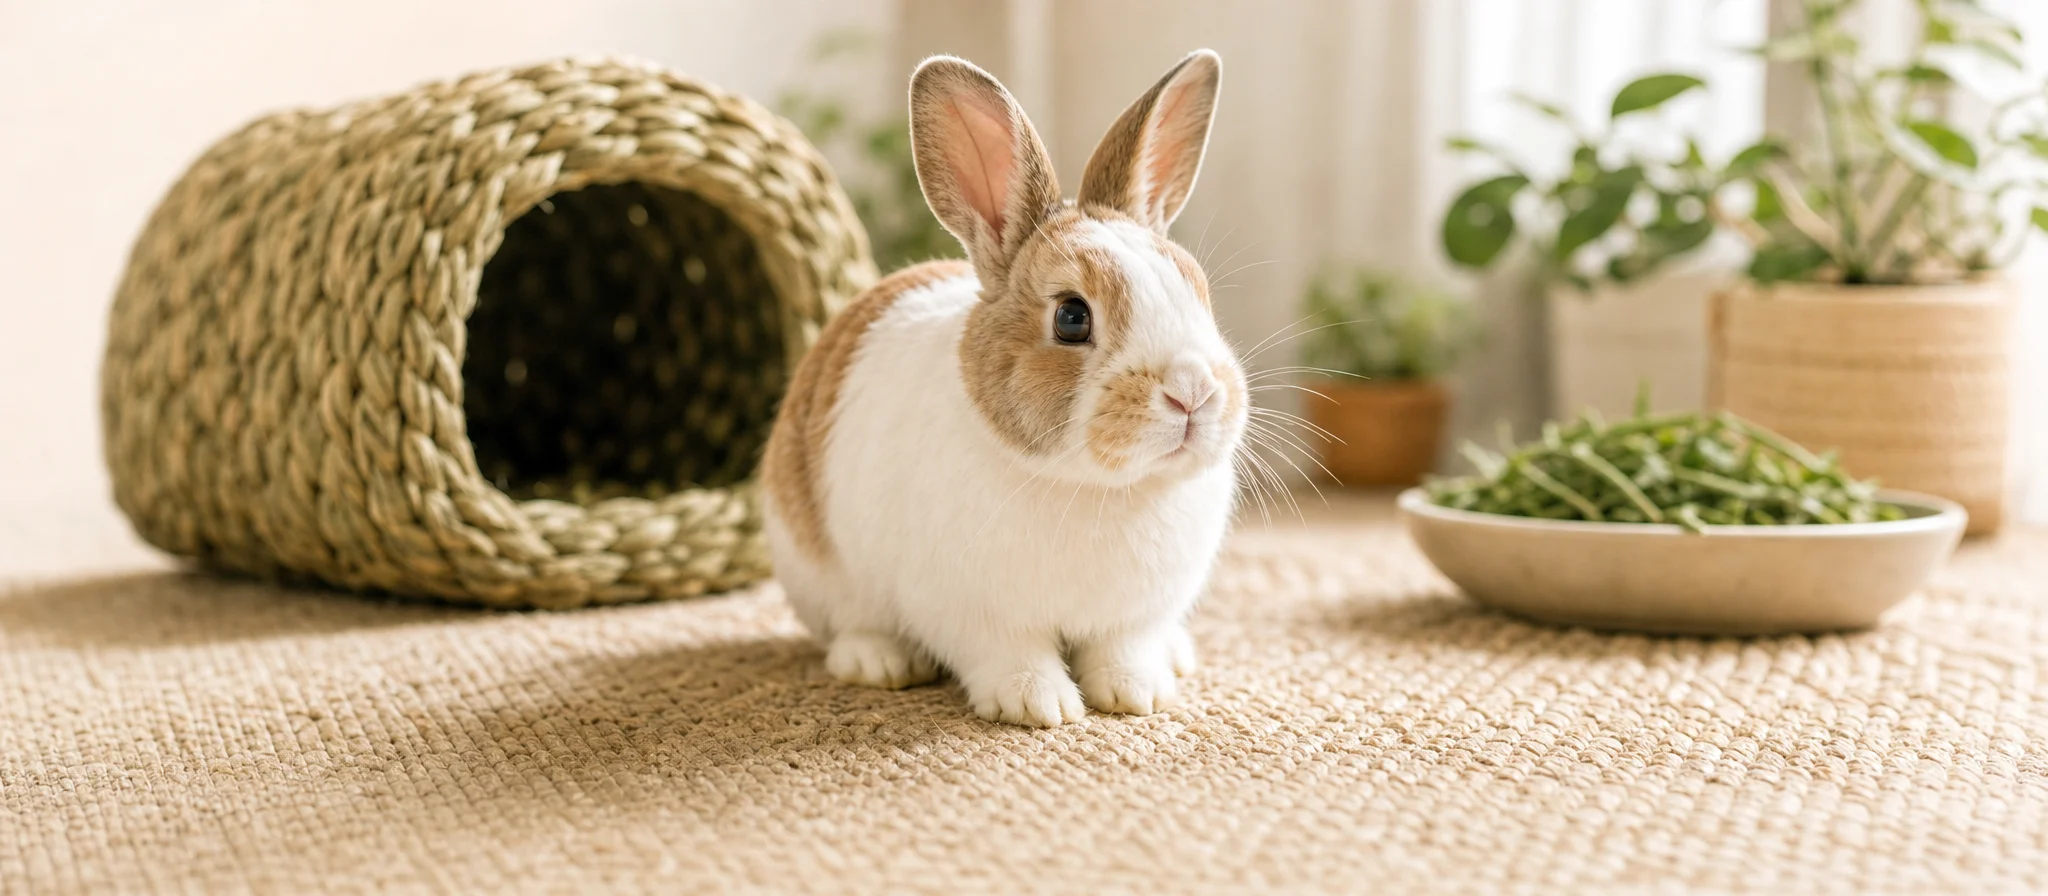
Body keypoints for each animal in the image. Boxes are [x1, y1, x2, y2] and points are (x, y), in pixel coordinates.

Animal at [760, 49, 1242, 727]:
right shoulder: (972, 615)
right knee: (846, 627)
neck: (1095, 488)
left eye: (1197, 290)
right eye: (1072, 317)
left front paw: (1138, 695)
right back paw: (878, 663)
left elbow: (1122, 649)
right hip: (814, 569)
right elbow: (1012, 656)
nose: (1193, 392)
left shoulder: (1133, 617)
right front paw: (1041, 707)